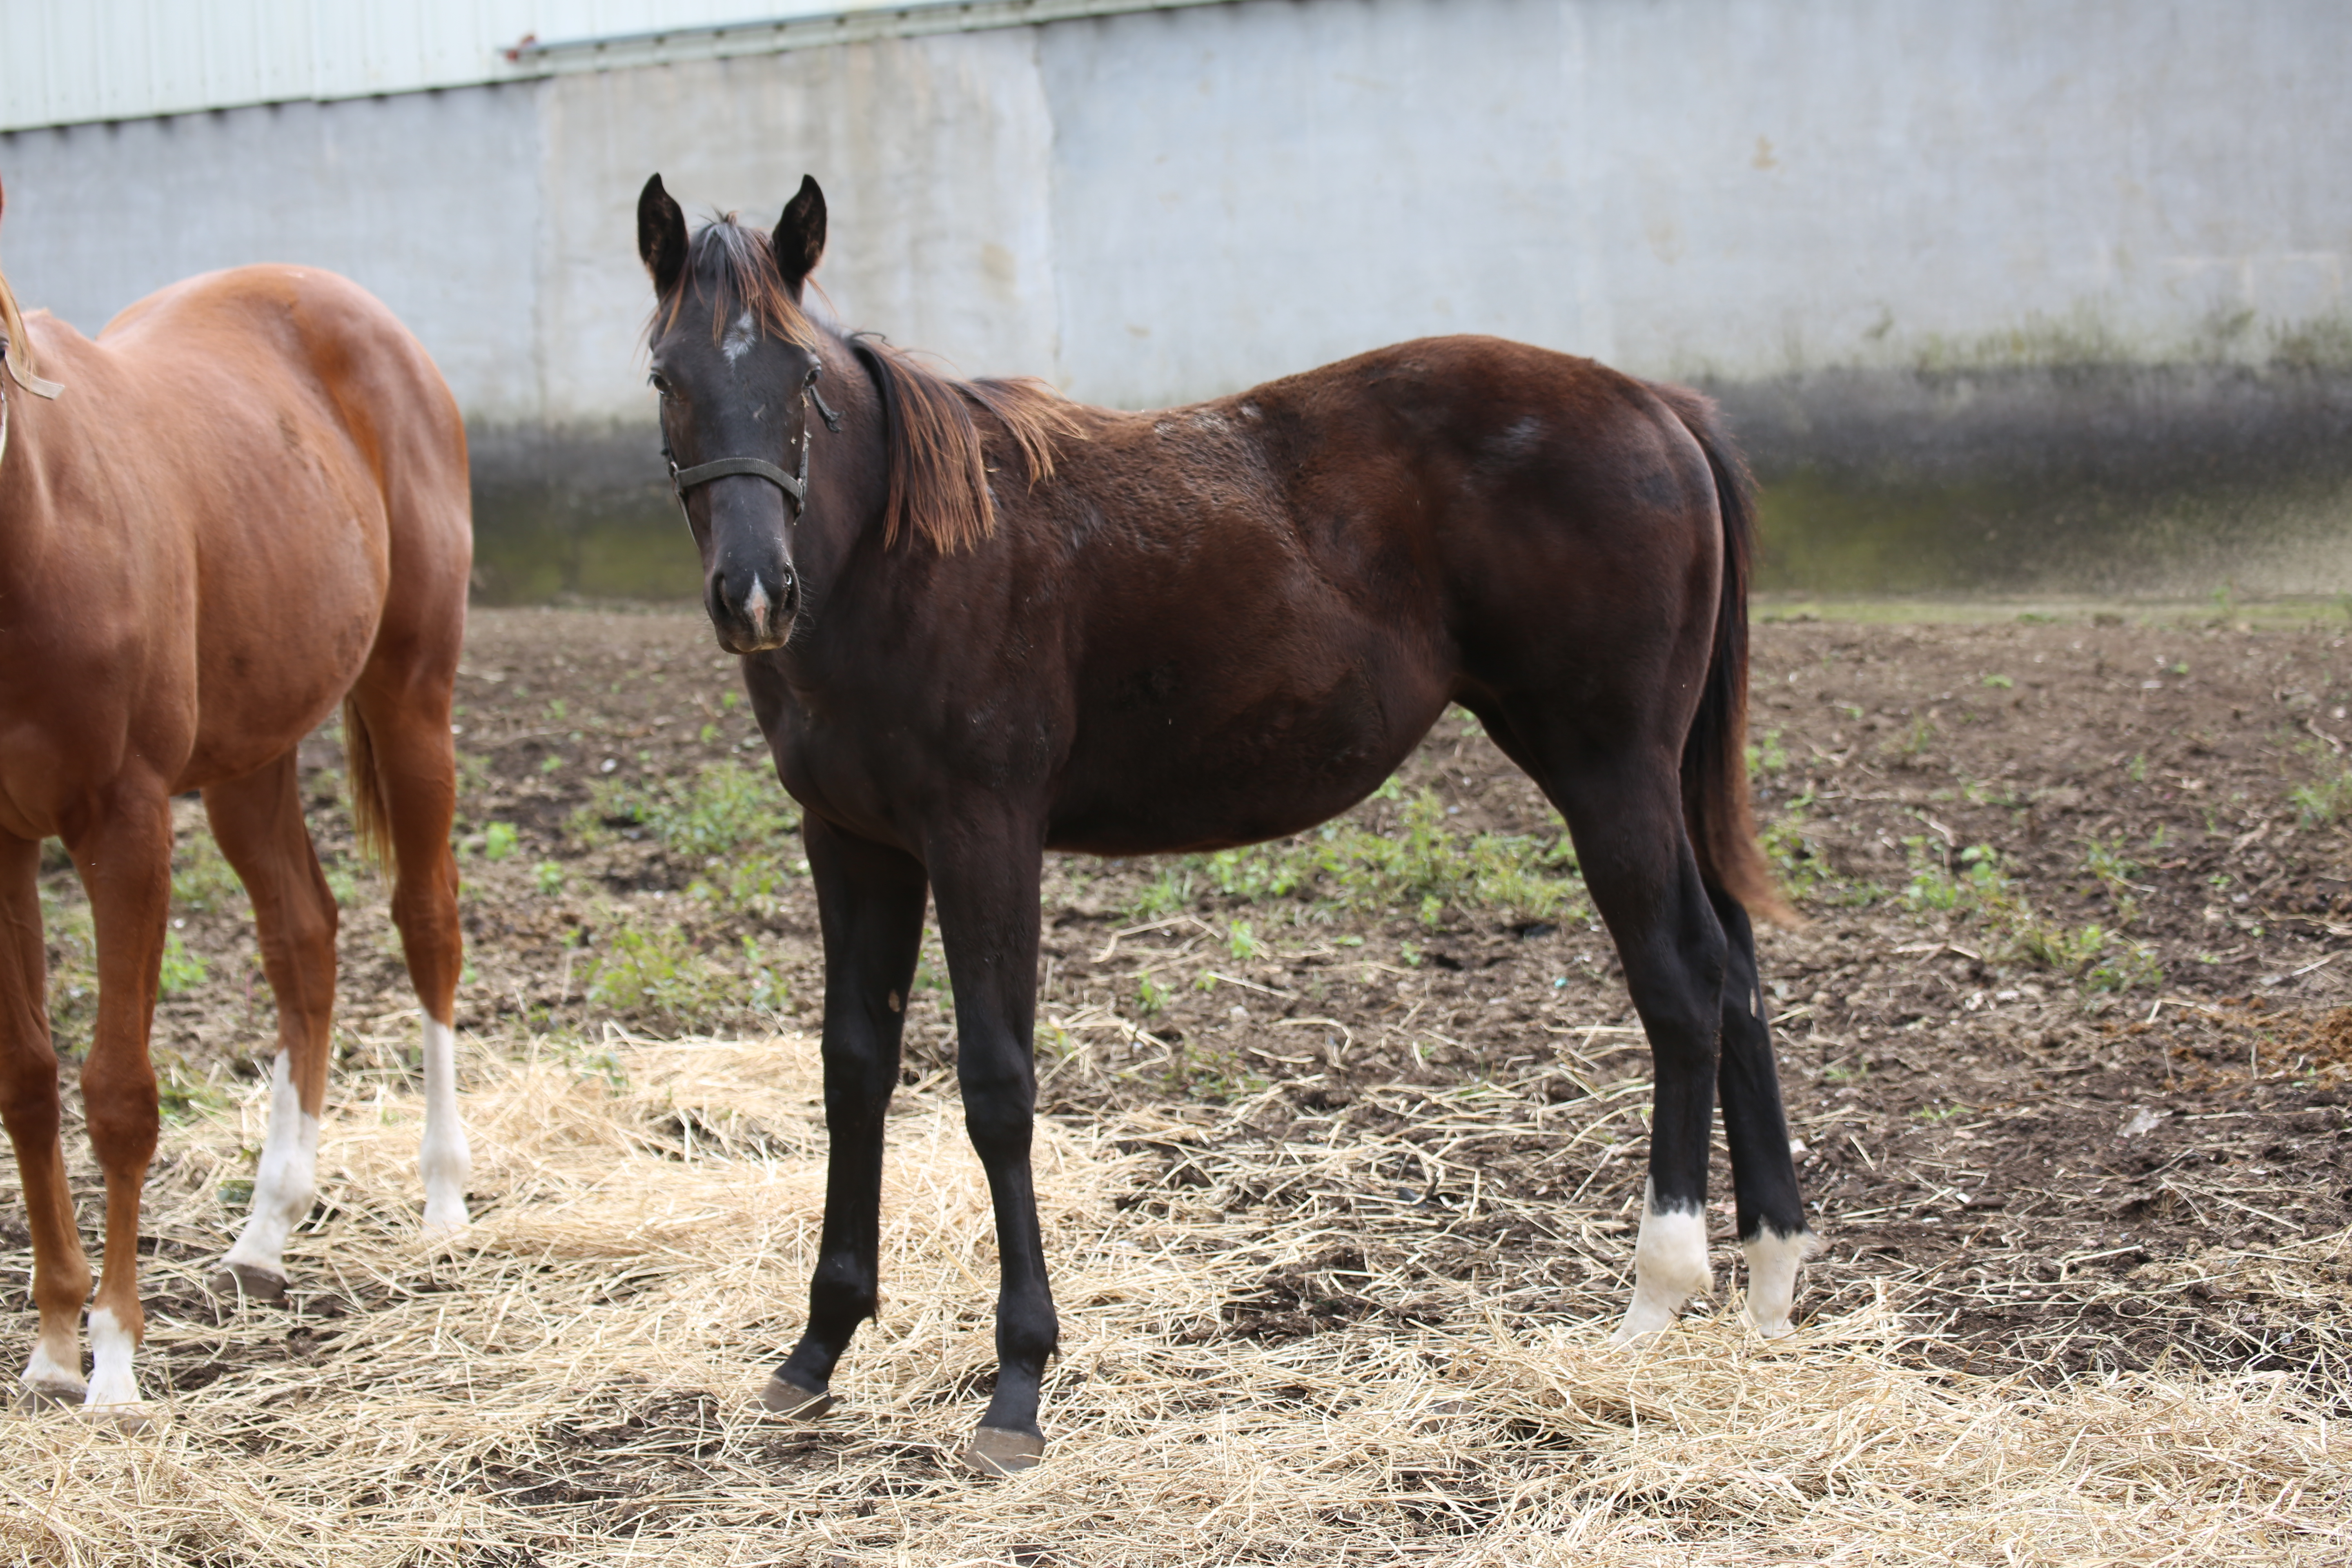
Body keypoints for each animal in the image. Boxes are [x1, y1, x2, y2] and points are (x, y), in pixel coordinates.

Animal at [635, 177, 1806, 1476]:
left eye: (802, 377)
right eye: (666, 375)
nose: (755, 594)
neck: (906, 556)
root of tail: (1660, 406)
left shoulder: (982, 835)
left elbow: (996, 1085)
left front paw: (1018, 1384)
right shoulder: (854, 844)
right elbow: (853, 1066)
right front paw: (818, 1347)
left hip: (1607, 770)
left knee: (1681, 984)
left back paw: (1657, 1292)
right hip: (1649, 775)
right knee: (1736, 968)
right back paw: (1769, 1278)